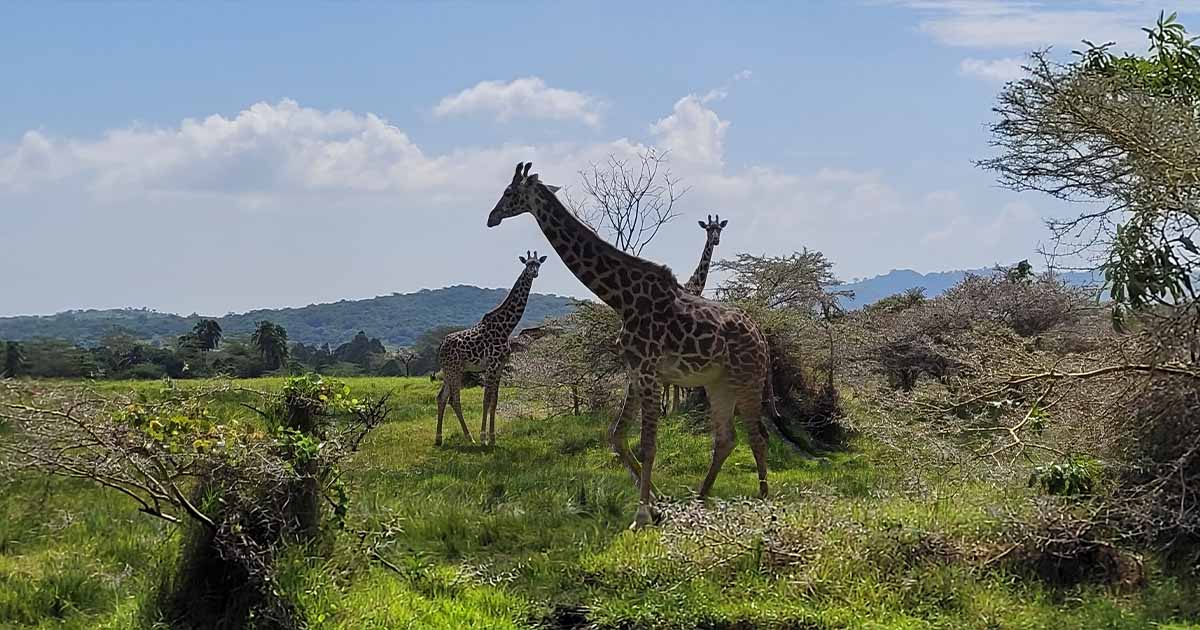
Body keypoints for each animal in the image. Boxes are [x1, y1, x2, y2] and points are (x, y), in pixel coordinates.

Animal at [436, 250, 549, 446]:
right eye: (527, 264)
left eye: (538, 264)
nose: (534, 273)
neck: (506, 327)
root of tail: (441, 347)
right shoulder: (491, 366)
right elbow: (486, 400)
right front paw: (483, 437)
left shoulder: (500, 366)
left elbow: (494, 400)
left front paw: (493, 437)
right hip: (454, 369)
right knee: (454, 399)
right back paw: (470, 437)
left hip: (451, 370)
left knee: (441, 397)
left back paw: (439, 438)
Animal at [482, 160, 801, 525]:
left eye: (509, 192)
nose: (491, 217)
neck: (622, 298)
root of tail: (761, 336)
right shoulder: (636, 372)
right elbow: (617, 436)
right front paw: (657, 503)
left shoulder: (648, 372)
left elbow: (648, 444)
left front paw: (642, 513)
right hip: (718, 383)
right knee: (726, 438)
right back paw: (699, 498)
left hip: (747, 379)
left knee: (757, 436)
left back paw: (763, 500)